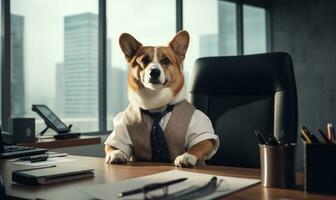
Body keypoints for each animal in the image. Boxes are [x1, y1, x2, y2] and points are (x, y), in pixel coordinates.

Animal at [105, 30, 220, 167]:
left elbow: (197, 146)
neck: (156, 106)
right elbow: (113, 146)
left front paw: (186, 156)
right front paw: (116, 154)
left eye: (165, 61)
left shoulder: (205, 136)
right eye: (144, 60)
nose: (154, 72)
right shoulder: (120, 128)